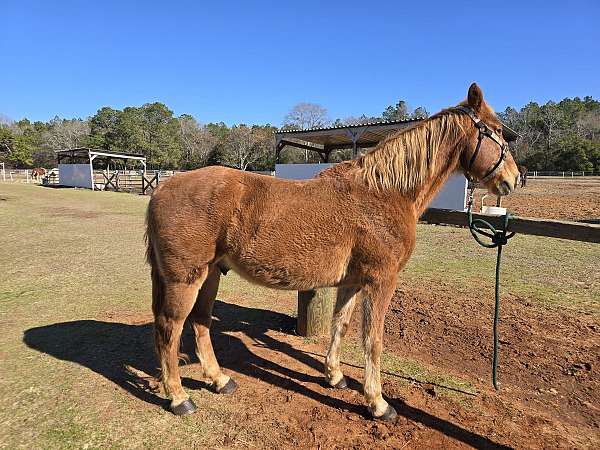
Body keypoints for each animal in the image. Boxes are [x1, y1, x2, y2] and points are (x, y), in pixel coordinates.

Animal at [145, 82, 520, 420]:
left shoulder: (352, 282)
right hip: (185, 279)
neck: (385, 192)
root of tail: (161, 190)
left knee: (200, 322)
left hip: (210, 274)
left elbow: (341, 325)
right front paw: (378, 403)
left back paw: (219, 380)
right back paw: (179, 398)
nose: (514, 179)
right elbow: (373, 340)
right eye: (497, 133)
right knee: (169, 328)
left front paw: (334, 376)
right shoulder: (381, 281)